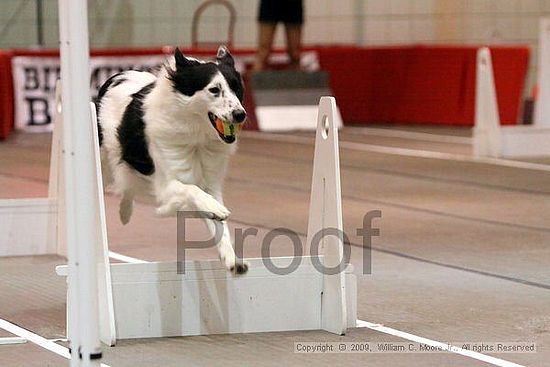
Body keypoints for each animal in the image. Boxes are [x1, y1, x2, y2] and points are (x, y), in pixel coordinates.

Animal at [96, 46, 248, 274]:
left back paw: (125, 212)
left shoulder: (210, 181)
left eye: (237, 88)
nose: (240, 114)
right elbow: (192, 190)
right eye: (214, 90)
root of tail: (116, 76)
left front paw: (232, 259)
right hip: (103, 159)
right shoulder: (166, 183)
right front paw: (215, 208)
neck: (197, 138)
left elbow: (220, 227)